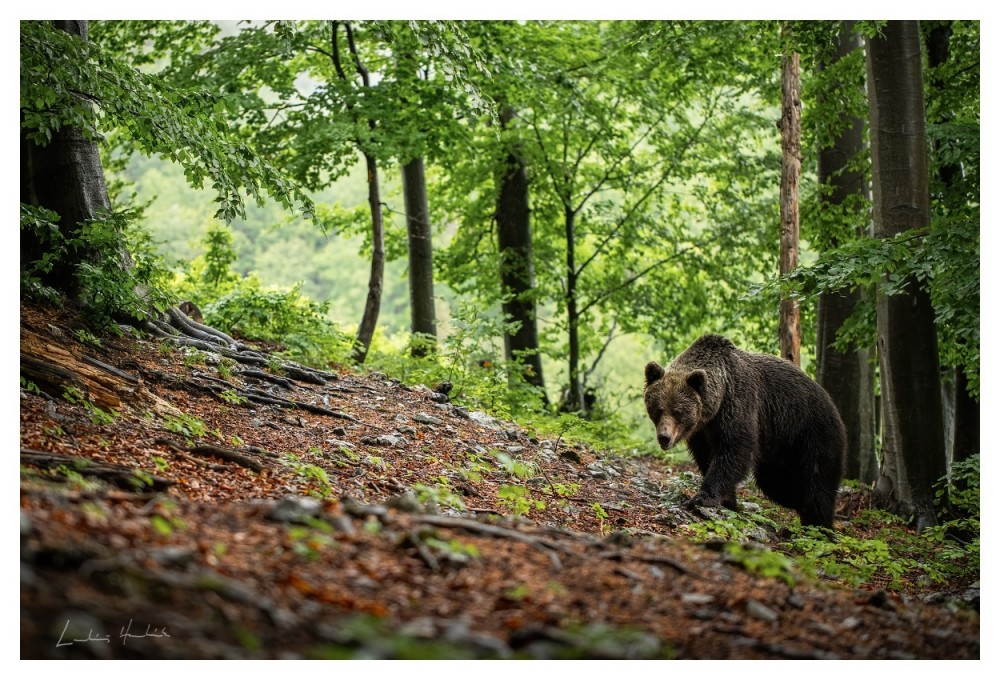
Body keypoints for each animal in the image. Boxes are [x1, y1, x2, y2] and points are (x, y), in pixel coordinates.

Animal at [644, 334, 848, 532]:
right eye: (658, 409)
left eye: (678, 411)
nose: (664, 437)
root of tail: (831, 402)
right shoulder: (701, 432)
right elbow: (706, 457)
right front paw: (728, 501)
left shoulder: (739, 403)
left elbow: (735, 450)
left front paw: (702, 497)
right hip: (778, 451)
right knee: (777, 484)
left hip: (812, 433)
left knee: (816, 483)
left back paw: (820, 527)